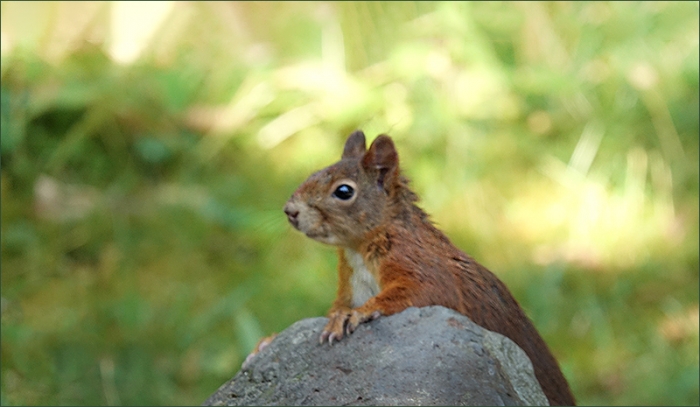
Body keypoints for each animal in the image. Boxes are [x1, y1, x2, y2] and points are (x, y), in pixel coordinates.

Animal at [282, 130, 576, 406]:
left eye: (343, 191)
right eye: (313, 173)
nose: (289, 211)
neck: (359, 250)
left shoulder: (421, 264)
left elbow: (425, 292)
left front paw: (359, 313)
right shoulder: (352, 284)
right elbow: (341, 304)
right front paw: (337, 317)